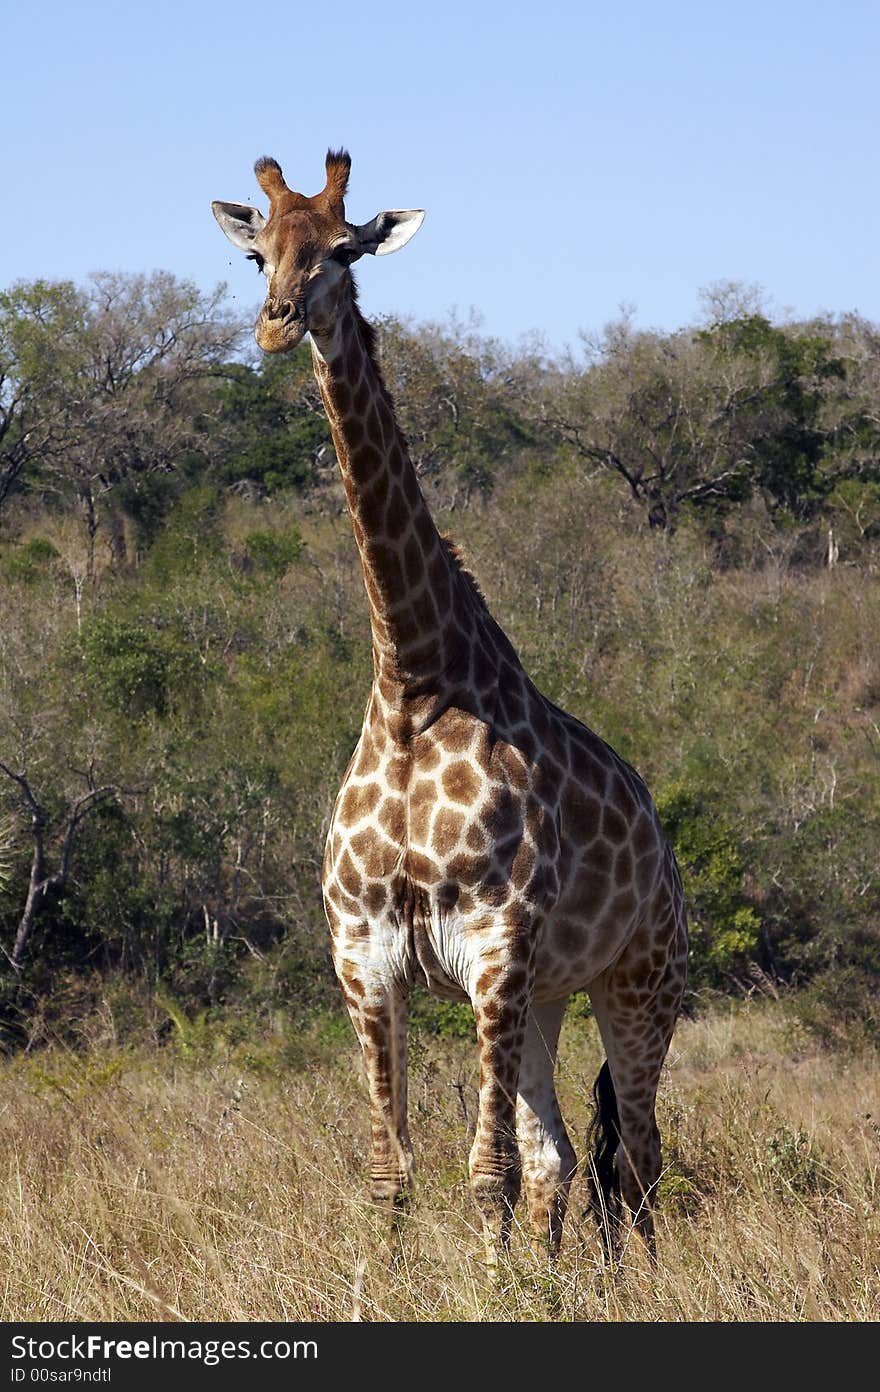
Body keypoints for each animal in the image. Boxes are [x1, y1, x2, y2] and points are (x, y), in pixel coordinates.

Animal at [211, 152, 687, 1263]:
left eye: (345, 250)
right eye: (258, 254)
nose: (277, 323)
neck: (412, 686)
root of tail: (664, 847)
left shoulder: (494, 945)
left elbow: (486, 1173)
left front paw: (492, 1284)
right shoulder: (365, 957)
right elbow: (393, 1174)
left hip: (640, 979)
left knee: (639, 1157)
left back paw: (642, 1282)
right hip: (550, 996)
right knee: (568, 1155)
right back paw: (562, 1287)